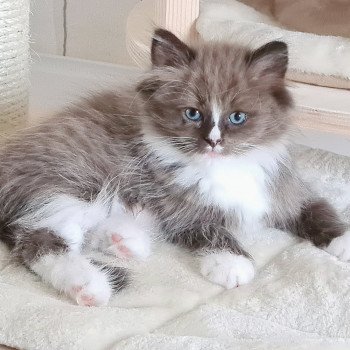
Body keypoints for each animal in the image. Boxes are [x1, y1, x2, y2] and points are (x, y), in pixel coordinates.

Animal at [0, 28, 348, 304]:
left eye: (237, 117)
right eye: (193, 113)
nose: (213, 142)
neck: (226, 168)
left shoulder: (286, 189)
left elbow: (319, 209)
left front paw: (342, 242)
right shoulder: (182, 209)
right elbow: (213, 230)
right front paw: (233, 265)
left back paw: (125, 242)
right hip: (75, 182)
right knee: (38, 239)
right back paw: (90, 285)